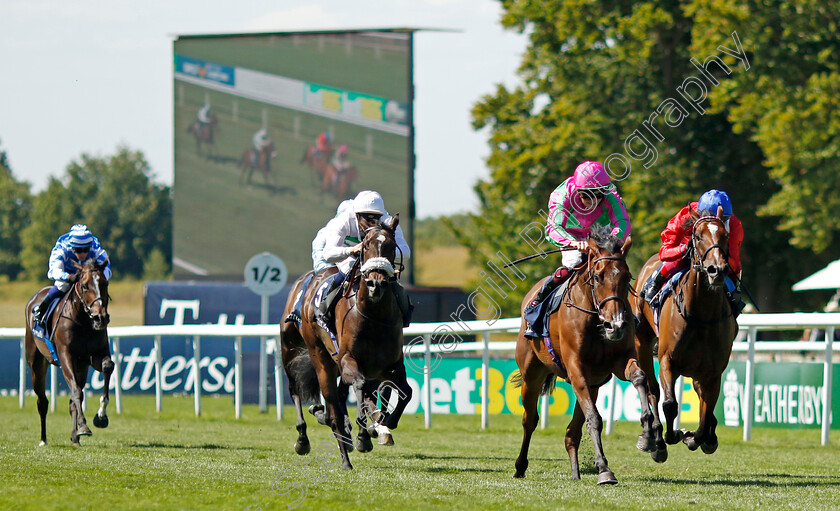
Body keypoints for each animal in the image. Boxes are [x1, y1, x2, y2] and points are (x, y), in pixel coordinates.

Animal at [23, 262, 113, 446]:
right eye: (85, 286)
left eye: (105, 283)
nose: (101, 317)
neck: (83, 322)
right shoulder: (66, 356)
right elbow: (77, 392)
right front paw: (84, 426)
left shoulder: (94, 356)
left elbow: (108, 366)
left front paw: (101, 416)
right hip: (36, 364)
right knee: (42, 401)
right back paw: (43, 439)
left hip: (81, 368)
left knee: (72, 400)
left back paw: (75, 436)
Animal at [280, 214, 412, 470]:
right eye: (366, 245)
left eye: (392, 246)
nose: (376, 284)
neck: (373, 316)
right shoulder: (347, 359)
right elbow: (359, 387)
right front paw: (364, 432)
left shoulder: (391, 365)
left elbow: (405, 392)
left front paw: (385, 423)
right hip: (308, 354)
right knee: (315, 401)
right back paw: (330, 451)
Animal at [512, 232, 664, 484]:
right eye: (598, 276)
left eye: (627, 276)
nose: (616, 325)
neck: (596, 321)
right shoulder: (576, 369)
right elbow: (594, 418)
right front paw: (604, 469)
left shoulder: (618, 361)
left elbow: (640, 378)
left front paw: (648, 435)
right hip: (532, 375)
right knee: (530, 420)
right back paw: (520, 466)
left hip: (593, 384)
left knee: (571, 432)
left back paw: (575, 472)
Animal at [632, 206, 736, 462]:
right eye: (697, 236)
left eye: (725, 236)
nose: (716, 270)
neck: (701, 314)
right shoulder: (667, 360)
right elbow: (669, 403)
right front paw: (668, 438)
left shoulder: (713, 371)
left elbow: (706, 413)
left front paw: (695, 437)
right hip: (642, 341)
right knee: (652, 389)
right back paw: (653, 437)